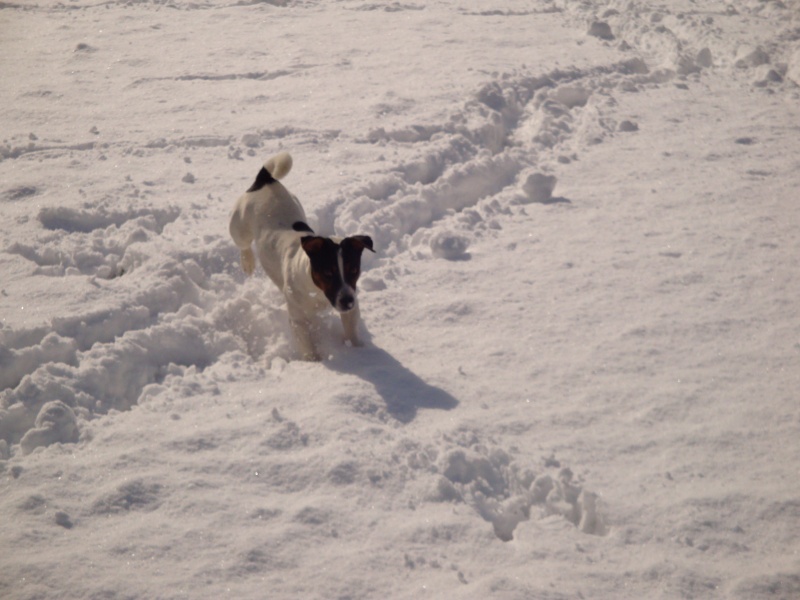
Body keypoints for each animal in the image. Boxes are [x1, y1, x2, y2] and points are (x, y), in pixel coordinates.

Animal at [227, 152, 374, 360]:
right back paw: (247, 262)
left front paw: (361, 352)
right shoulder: (298, 320)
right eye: (328, 272)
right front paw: (314, 362)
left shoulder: (350, 308)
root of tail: (266, 181)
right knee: (243, 244)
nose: (347, 301)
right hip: (239, 226)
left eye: (353, 270)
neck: (316, 291)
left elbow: (352, 330)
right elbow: (307, 346)